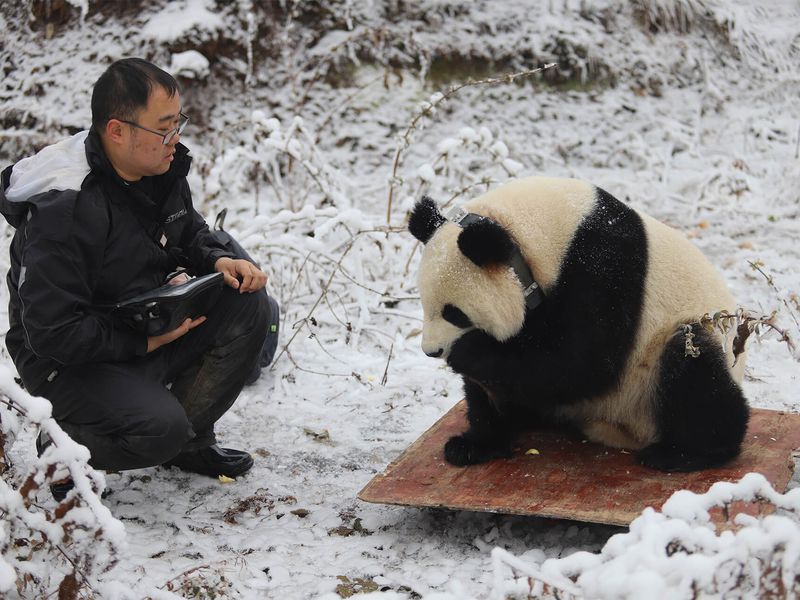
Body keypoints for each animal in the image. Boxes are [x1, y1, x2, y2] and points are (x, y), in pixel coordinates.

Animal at [410, 176, 748, 472]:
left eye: (454, 313)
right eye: (424, 305)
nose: (431, 351)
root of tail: (621, 432)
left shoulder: (602, 267)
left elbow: (583, 362)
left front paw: (466, 353)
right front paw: (474, 444)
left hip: (661, 363)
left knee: (692, 369)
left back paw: (681, 453)